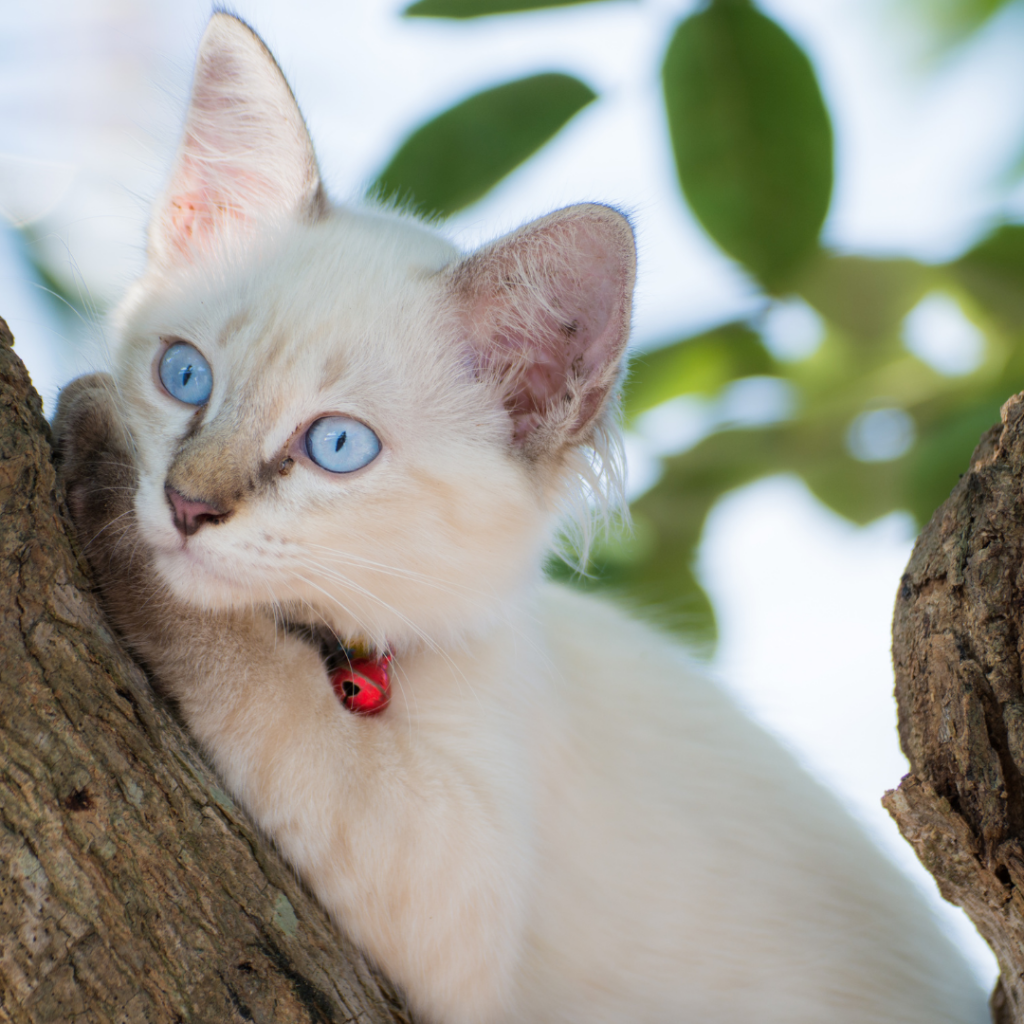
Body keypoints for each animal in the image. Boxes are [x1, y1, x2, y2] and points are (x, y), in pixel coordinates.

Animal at [51, 14, 987, 1024]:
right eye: (185, 377)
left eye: (337, 446)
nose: (186, 505)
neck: (352, 662)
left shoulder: (446, 881)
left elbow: (252, 674)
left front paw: (96, 448)